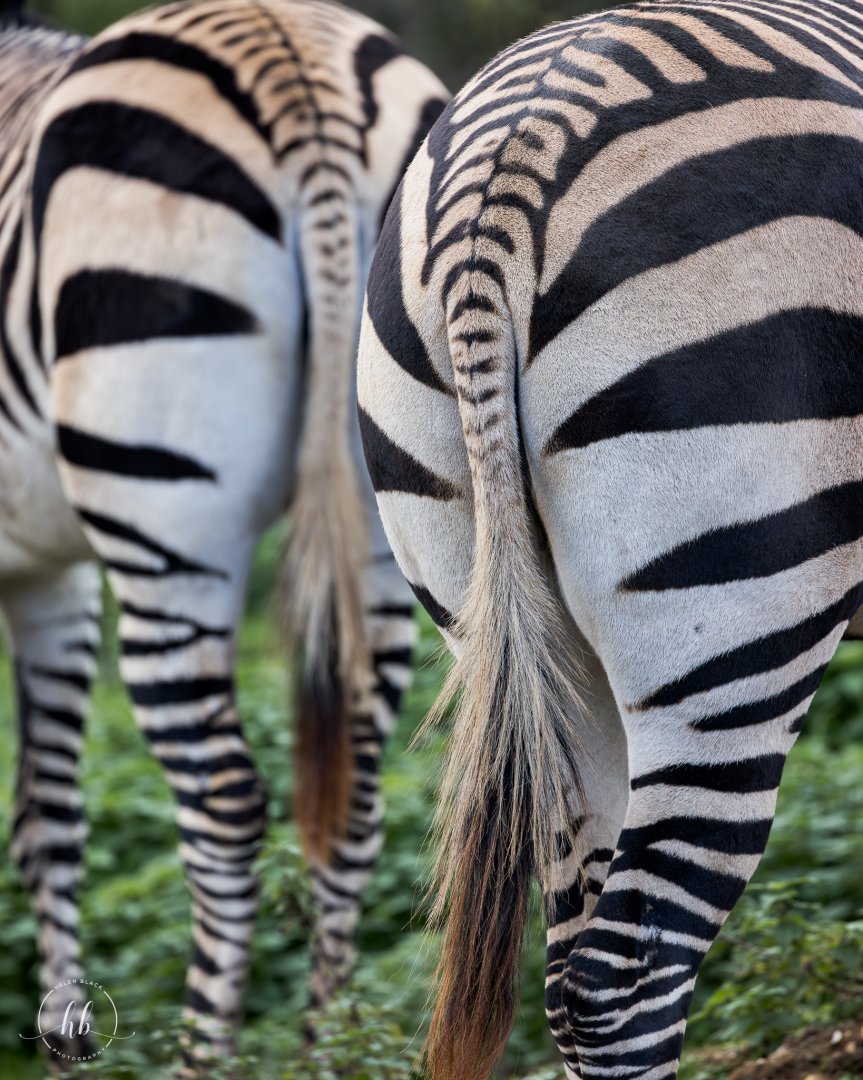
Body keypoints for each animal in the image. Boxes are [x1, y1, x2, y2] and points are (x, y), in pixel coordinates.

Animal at [0, 0, 446, 1066]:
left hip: (163, 519)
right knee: (355, 800)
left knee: (223, 810)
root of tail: (295, 72)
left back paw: (201, 1056)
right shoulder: (48, 573)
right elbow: (48, 819)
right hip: (388, 511)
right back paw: (328, 1054)